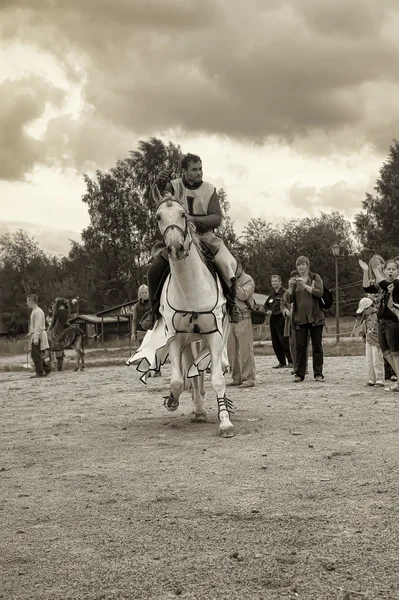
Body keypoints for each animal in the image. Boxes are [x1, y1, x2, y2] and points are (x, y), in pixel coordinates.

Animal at [153, 185, 234, 438]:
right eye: (158, 217)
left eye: (183, 214)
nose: (175, 247)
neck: (191, 288)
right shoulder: (175, 339)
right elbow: (178, 381)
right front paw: (172, 401)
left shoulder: (214, 336)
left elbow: (217, 378)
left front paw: (225, 422)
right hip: (189, 342)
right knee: (192, 373)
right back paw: (198, 410)